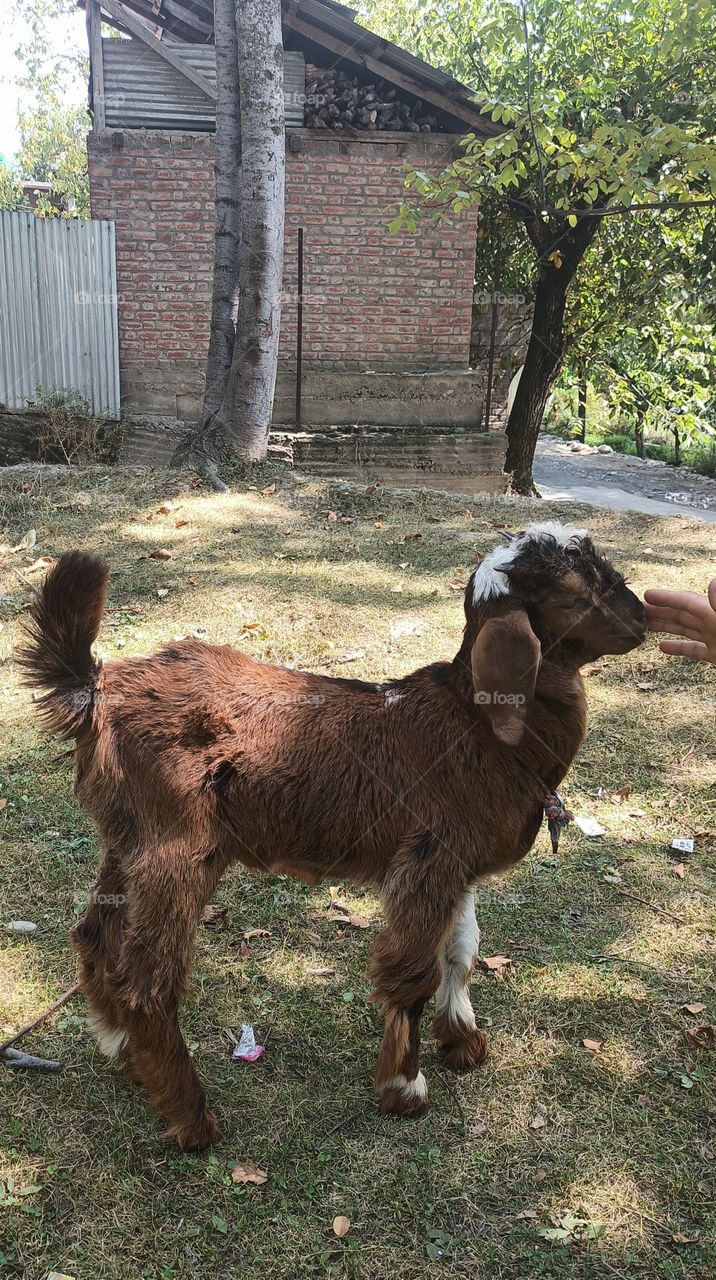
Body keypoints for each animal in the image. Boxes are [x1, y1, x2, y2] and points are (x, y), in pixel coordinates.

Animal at [18, 521, 646, 1150]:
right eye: (569, 592)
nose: (641, 618)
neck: (479, 728)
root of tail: (98, 690)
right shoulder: (428, 859)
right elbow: (413, 974)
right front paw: (404, 1088)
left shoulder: (459, 866)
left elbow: (461, 952)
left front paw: (463, 1042)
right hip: (178, 844)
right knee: (147, 983)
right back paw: (191, 1119)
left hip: (127, 838)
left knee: (94, 936)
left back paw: (124, 1050)